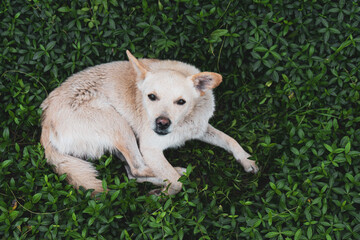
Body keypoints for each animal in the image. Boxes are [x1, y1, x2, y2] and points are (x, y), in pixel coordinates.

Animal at [40, 50, 258, 195]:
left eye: (181, 102)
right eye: (151, 96)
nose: (162, 123)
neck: (184, 122)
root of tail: (45, 124)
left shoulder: (201, 128)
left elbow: (230, 140)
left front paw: (247, 160)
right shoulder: (150, 148)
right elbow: (177, 183)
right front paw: (167, 192)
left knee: (131, 171)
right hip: (119, 124)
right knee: (138, 168)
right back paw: (175, 173)